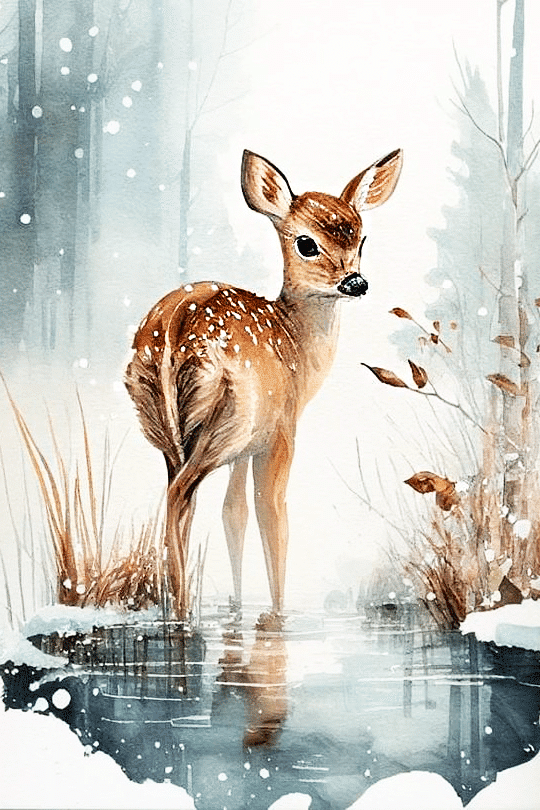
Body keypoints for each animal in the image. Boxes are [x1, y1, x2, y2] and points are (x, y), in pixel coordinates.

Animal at [125, 147, 402, 619]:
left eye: (362, 240)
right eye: (306, 242)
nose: (356, 282)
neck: (297, 351)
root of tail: (174, 329)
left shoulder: (246, 448)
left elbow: (233, 512)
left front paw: (239, 606)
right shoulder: (280, 431)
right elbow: (272, 513)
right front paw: (277, 614)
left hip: (165, 427)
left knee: (182, 501)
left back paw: (177, 604)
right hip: (227, 417)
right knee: (181, 497)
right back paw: (181, 611)